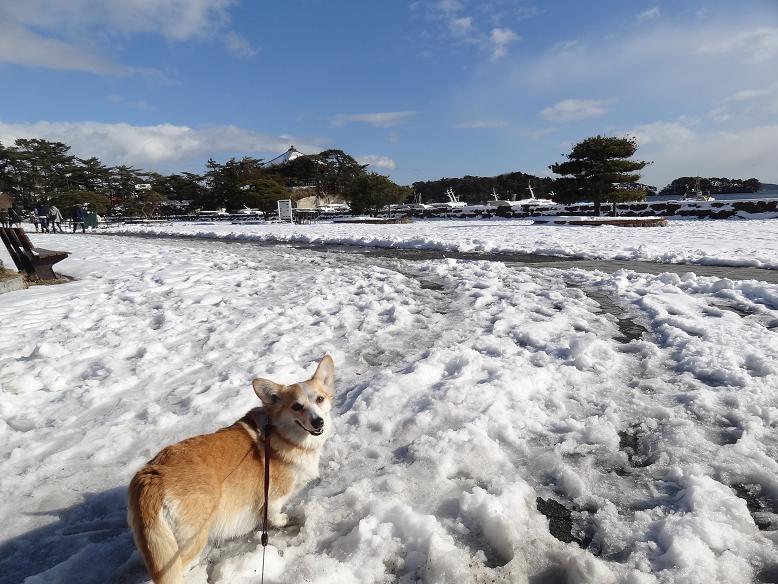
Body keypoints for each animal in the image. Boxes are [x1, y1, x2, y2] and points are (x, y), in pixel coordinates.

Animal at [126, 354, 334, 580]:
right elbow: (274, 515)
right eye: (296, 406)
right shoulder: (274, 496)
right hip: (191, 540)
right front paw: (283, 520)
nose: (318, 422)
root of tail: (150, 480)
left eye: (320, 399)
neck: (283, 434)